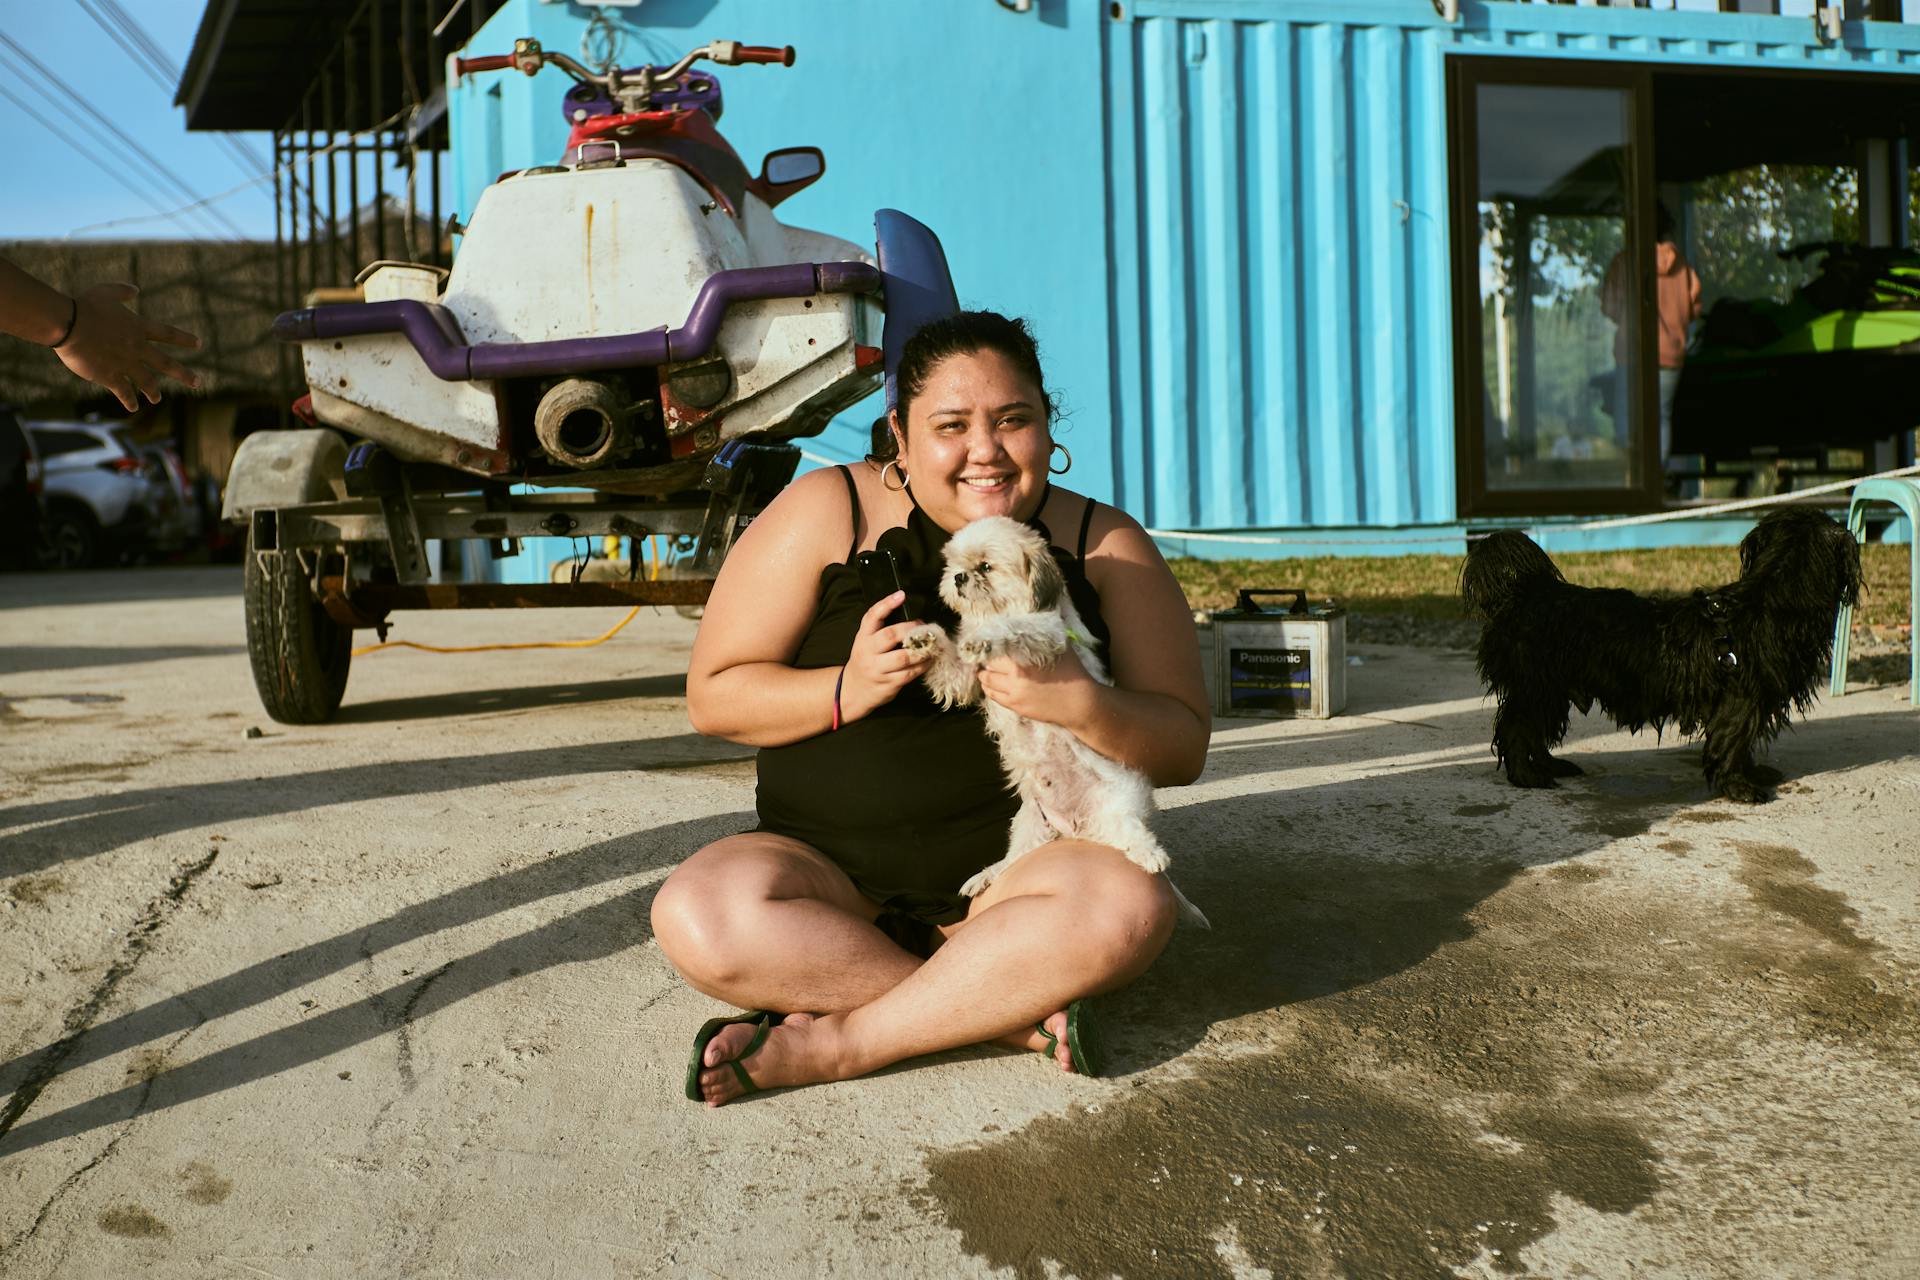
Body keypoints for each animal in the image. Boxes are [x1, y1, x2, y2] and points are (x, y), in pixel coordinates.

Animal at [906, 514, 1205, 924]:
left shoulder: (1045, 636)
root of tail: (1078, 826)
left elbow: (1013, 628)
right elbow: (949, 658)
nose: (959, 577)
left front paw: (987, 636)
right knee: (1013, 861)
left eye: (986, 567)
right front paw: (923, 637)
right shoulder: (965, 678)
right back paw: (986, 875)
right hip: (1028, 826)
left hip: (1120, 802)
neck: (997, 610)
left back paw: (1150, 855)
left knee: (1133, 833)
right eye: (954, 564)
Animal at [1466, 506, 1858, 802]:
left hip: (1552, 691)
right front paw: (1739, 787)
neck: (1767, 603)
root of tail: (1524, 592)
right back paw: (1527, 776)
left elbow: (1740, 744)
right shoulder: (1741, 702)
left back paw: (1550, 766)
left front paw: (1753, 773)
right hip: (1538, 687)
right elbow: (1732, 744)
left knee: (1535, 732)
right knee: (1517, 729)